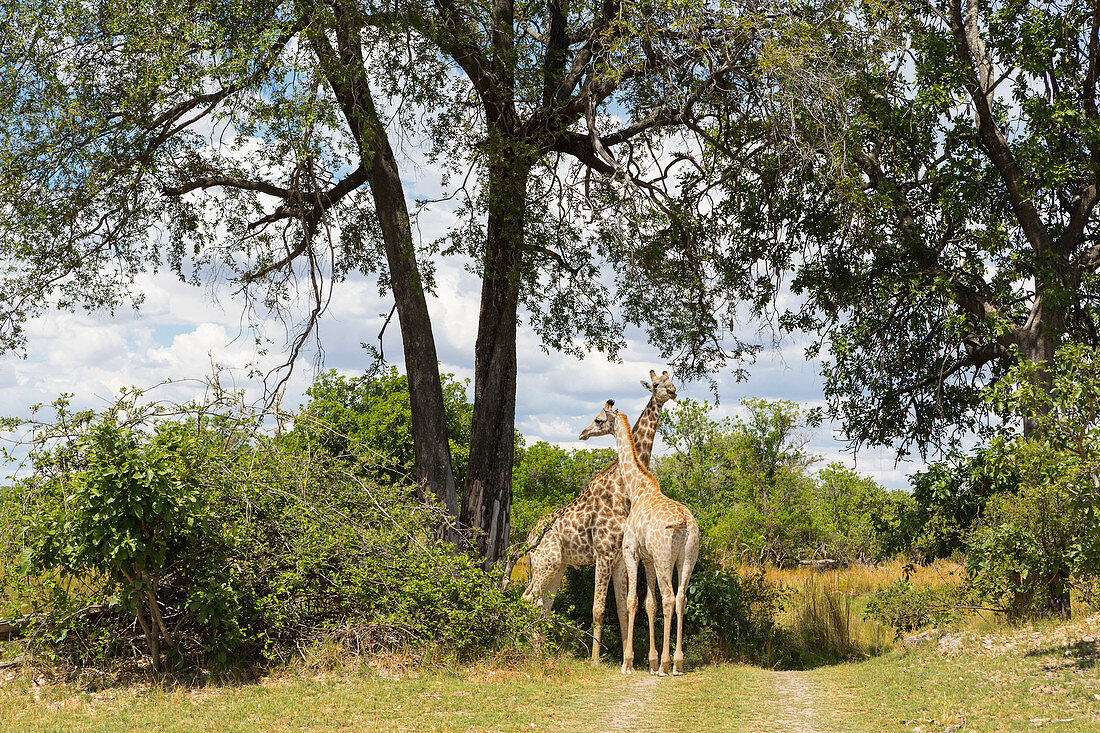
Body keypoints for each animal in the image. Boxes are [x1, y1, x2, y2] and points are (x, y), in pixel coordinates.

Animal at [519, 367, 673, 660]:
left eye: (671, 381)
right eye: (657, 384)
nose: (583, 432)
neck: (621, 490)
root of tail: (529, 538)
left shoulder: (619, 558)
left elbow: (623, 608)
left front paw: (626, 658)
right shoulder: (603, 554)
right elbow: (598, 609)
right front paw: (595, 660)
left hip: (558, 566)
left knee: (544, 604)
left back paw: (540, 650)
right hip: (546, 563)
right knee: (529, 599)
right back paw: (529, 649)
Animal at [580, 400, 699, 673]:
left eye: (599, 419)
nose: (583, 433)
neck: (637, 488)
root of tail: (685, 522)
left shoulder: (631, 552)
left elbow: (632, 601)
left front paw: (628, 661)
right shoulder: (648, 559)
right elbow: (649, 603)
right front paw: (651, 661)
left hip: (666, 558)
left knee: (669, 598)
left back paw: (666, 664)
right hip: (687, 558)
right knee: (681, 598)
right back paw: (676, 663)